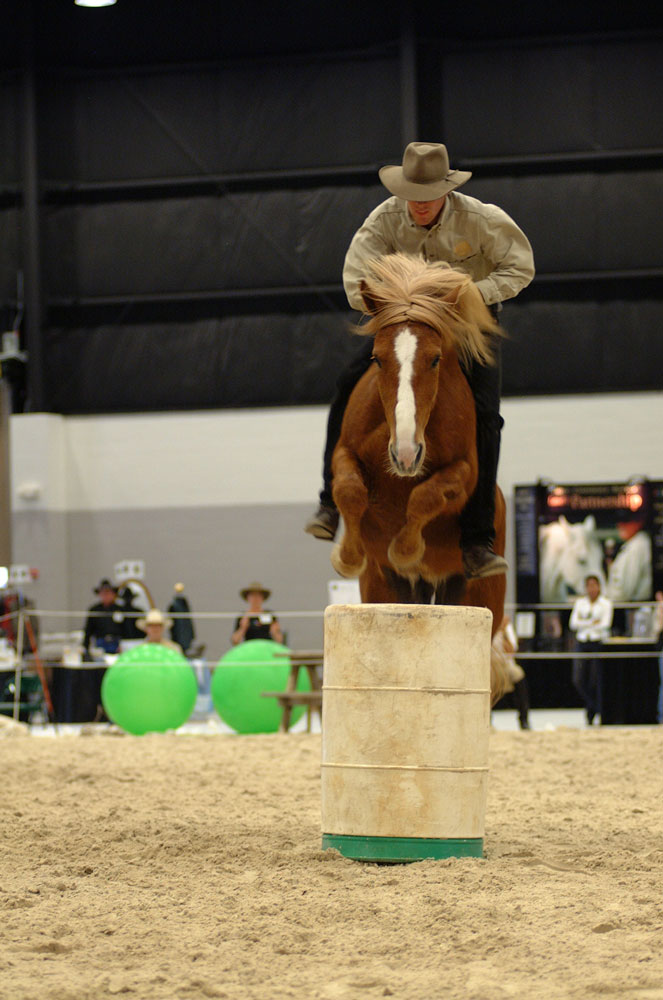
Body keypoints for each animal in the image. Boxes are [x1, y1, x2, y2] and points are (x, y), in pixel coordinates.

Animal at [330, 250, 508, 704]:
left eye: (435, 358)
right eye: (377, 358)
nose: (407, 453)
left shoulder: (464, 473)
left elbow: (426, 496)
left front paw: (407, 548)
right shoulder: (344, 454)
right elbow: (349, 489)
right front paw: (350, 554)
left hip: (475, 596)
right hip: (384, 589)